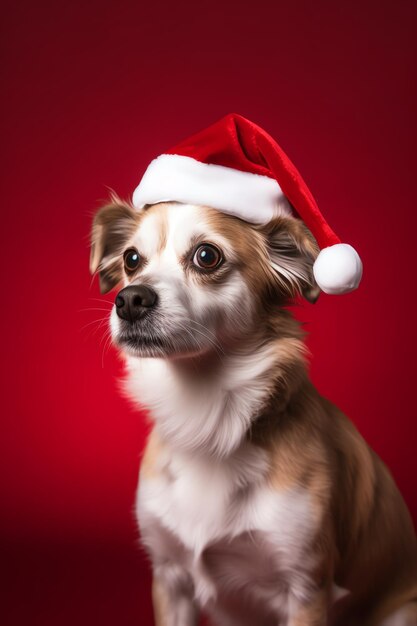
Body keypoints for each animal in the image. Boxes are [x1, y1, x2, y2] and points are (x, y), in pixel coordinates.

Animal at [89, 197, 414, 620]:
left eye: (206, 256)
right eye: (131, 259)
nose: (129, 299)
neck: (205, 419)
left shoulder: (307, 588)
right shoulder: (169, 578)